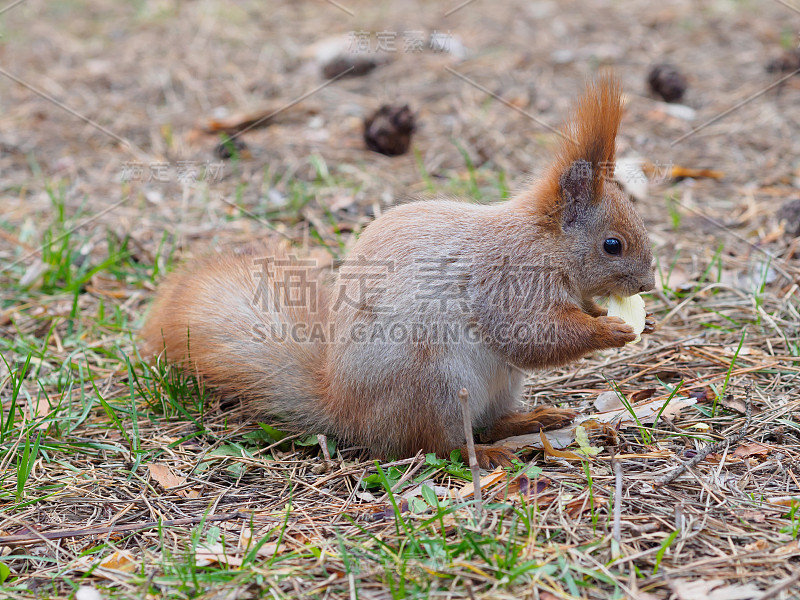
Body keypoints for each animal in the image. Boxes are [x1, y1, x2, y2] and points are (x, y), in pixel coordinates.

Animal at [142, 76, 656, 468]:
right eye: (612, 245)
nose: (648, 285)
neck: (545, 245)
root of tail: (344, 410)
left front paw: (603, 314)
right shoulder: (508, 281)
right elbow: (530, 336)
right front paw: (609, 330)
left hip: (499, 385)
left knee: (488, 421)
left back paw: (531, 420)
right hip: (437, 388)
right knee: (437, 446)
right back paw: (487, 456)